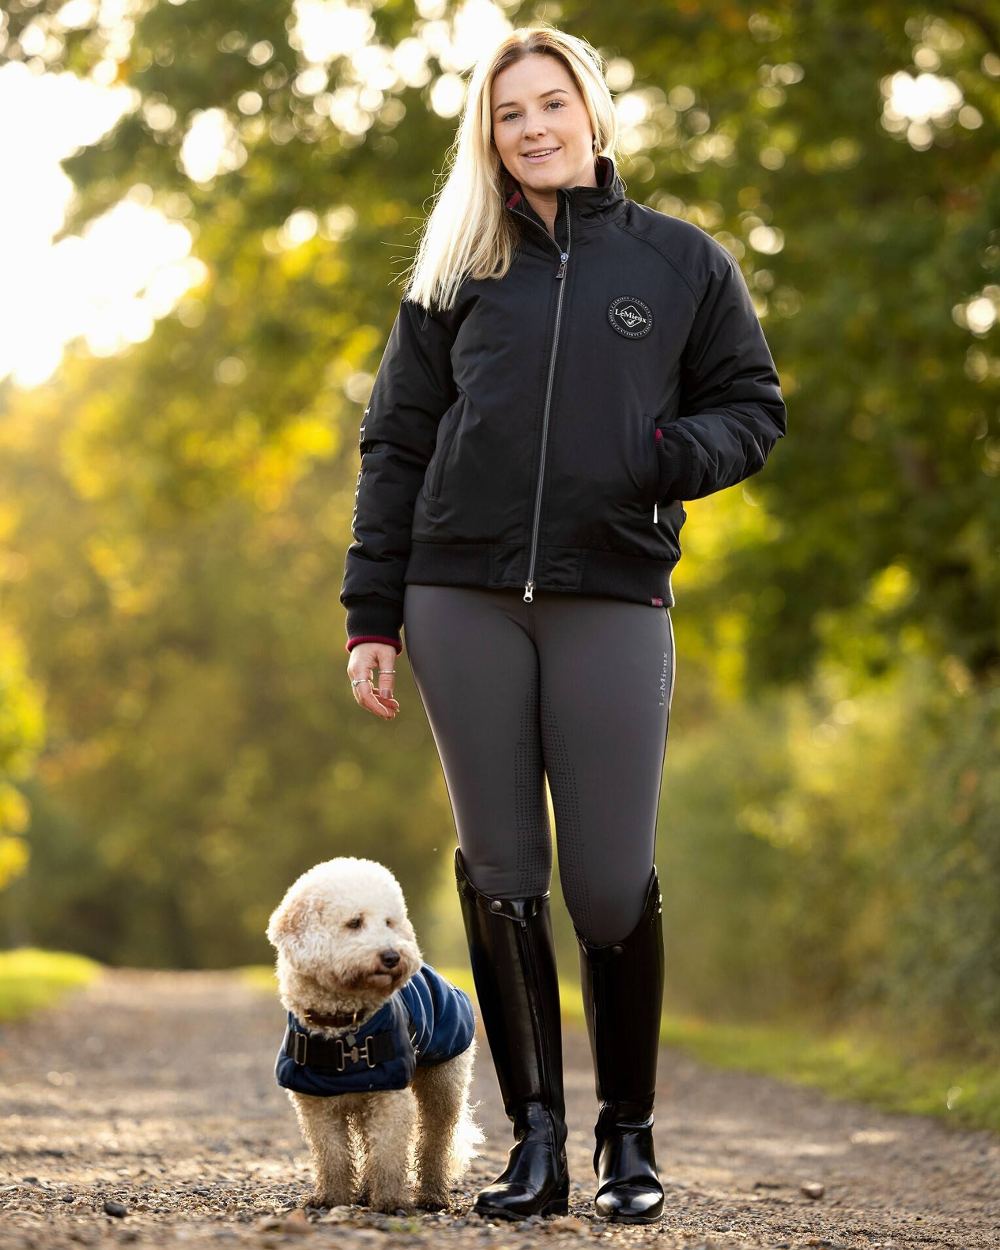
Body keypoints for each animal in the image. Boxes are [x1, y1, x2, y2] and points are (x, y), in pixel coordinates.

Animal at [265, 855, 485, 1215]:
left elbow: (388, 1154)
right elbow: (333, 1156)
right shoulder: (316, 1105)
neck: (344, 1026)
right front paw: (332, 1197)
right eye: (355, 923)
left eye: (389, 923)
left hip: (444, 1087)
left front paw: (391, 1201)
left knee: (435, 1142)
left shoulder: (389, 1098)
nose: (393, 956)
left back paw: (431, 1195)